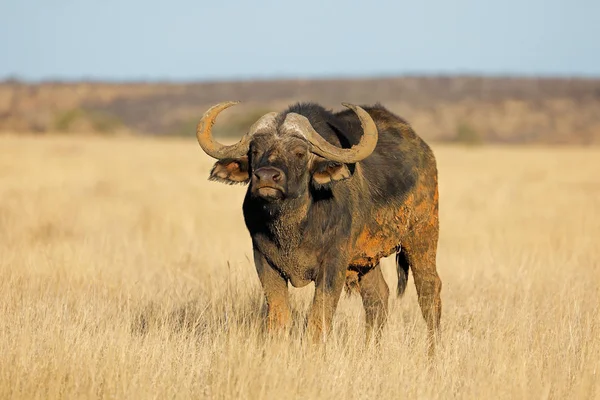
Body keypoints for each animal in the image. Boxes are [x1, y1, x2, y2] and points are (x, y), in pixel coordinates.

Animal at [196, 101, 440, 354]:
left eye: (299, 153)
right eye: (255, 151)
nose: (267, 177)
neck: (293, 227)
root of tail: (423, 150)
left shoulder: (333, 264)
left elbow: (318, 317)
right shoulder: (264, 260)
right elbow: (279, 316)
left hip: (422, 235)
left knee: (429, 290)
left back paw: (433, 352)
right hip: (366, 259)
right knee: (377, 295)